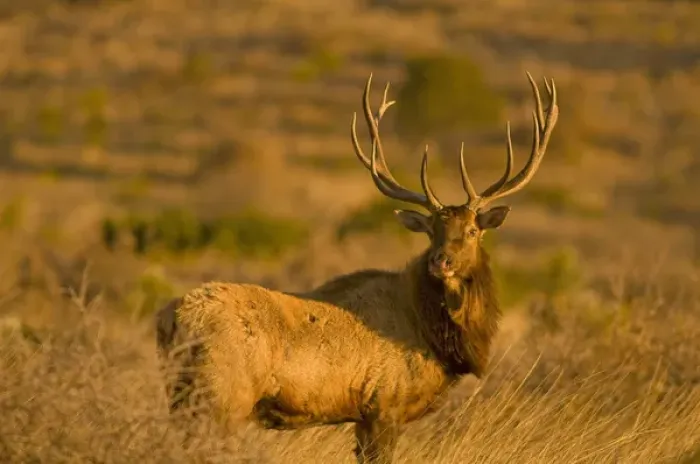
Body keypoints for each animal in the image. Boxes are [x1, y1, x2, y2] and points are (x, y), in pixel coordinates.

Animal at [156, 72, 558, 463]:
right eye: (432, 231)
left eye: (473, 230)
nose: (440, 261)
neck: (432, 334)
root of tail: (172, 317)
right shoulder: (384, 406)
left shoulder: (367, 416)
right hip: (221, 397)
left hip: (183, 394)